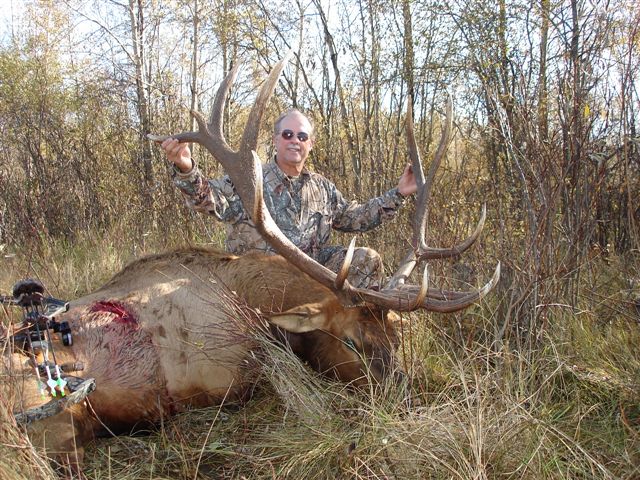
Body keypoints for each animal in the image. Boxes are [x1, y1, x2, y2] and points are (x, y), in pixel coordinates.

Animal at [2, 55, 499, 476]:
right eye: (352, 343)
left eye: (395, 338)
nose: (404, 399)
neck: (253, 302)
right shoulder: (218, 374)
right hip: (49, 412)